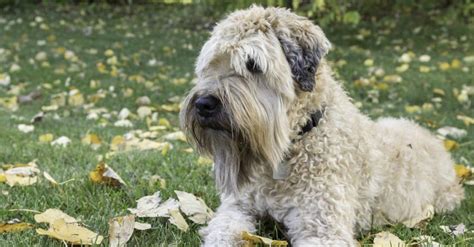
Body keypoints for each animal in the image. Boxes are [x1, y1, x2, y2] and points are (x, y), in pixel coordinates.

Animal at [180, 4, 464, 246]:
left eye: (252, 65)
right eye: (211, 63)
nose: (204, 104)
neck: (296, 140)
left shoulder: (323, 228)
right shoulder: (237, 207)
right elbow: (222, 230)